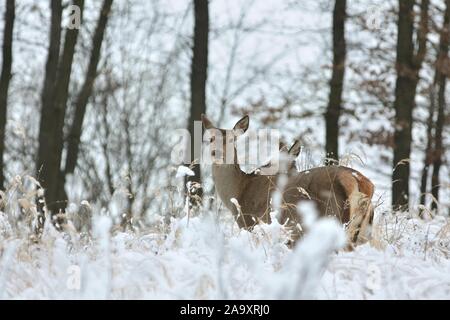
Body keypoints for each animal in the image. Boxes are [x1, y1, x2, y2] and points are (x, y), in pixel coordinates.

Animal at [202, 114, 374, 249]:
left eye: (233, 140)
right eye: (210, 138)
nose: (217, 153)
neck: (239, 192)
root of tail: (358, 181)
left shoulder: (252, 223)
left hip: (332, 218)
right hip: (363, 231)